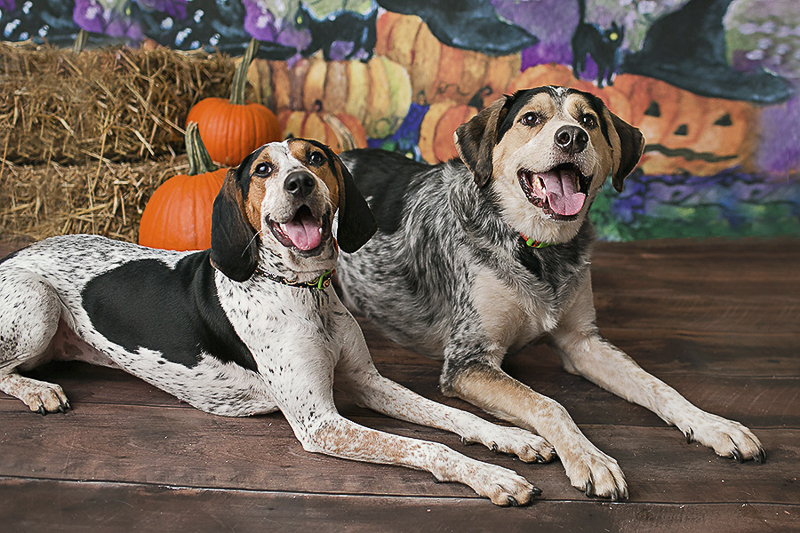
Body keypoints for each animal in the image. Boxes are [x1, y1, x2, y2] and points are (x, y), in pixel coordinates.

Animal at [0, 137, 556, 502]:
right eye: (263, 170)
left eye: (315, 158)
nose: (299, 182)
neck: (303, 290)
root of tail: (18, 253)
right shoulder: (320, 423)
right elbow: (426, 446)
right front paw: (492, 477)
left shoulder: (367, 381)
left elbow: (452, 416)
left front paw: (514, 438)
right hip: (38, 304)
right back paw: (39, 392)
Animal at [334, 87, 764, 498]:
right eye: (530, 118)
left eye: (588, 120)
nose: (571, 136)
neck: (537, 248)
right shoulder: (467, 361)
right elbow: (548, 403)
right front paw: (591, 459)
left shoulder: (582, 342)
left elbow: (659, 385)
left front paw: (714, 425)